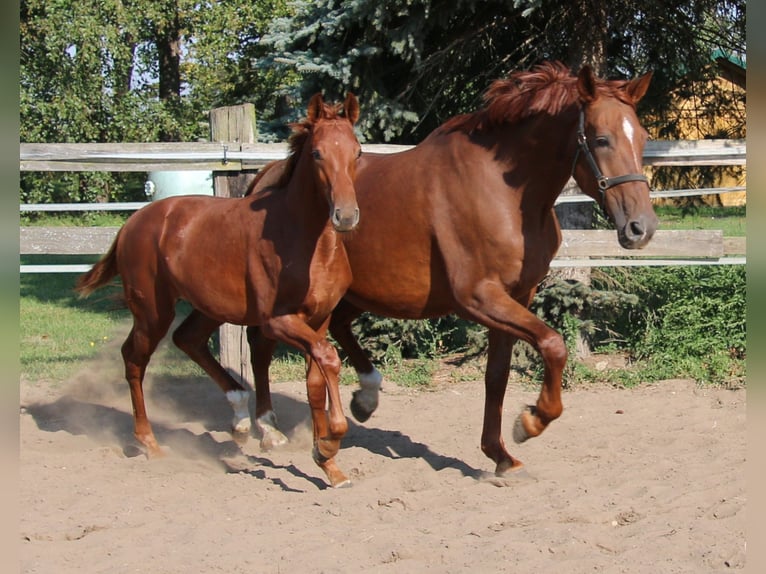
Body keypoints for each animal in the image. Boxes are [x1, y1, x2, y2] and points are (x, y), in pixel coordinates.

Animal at [76, 94, 364, 490]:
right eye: (318, 153)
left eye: (357, 152)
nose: (346, 217)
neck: (303, 242)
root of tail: (133, 222)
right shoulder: (277, 321)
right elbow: (330, 358)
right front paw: (329, 443)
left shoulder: (318, 321)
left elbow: (317, 380)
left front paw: (329, 464)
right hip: (153, 310)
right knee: (134, 358)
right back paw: (150, 443)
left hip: (210, 306)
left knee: (187, 339)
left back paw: (241, 417)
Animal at [248, 62, 660, 476]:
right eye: (602, 139)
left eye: (642, 138)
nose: (641, 228)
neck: (502, 191)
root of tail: (266, 176)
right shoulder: (479, 297)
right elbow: (553, 345)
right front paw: (531, 421)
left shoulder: (516, 296)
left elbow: (497, 376)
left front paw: (500, 455)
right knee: (263, 349)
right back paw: (268, 429)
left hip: (349, 294)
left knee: (331, 339)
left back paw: (364, 399)